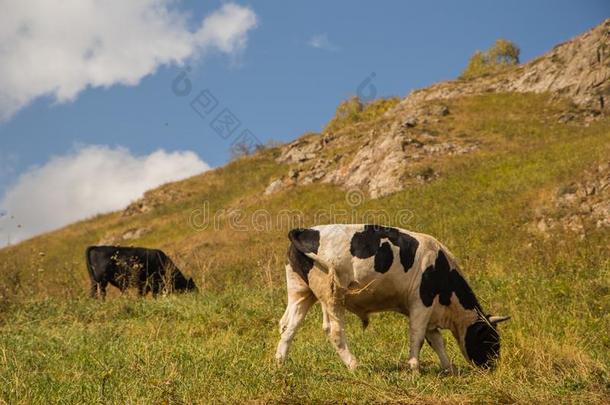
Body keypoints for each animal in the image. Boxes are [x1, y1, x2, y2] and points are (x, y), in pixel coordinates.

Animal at [276, 224, 508, 372]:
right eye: (491, 339)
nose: (493, 368)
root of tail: (303, 230)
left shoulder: (430, 311)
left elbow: (436, 340)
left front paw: (448, 368)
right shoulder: (421, 302)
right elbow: (418, 336)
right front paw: (414, 368)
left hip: (300, 292)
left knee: (289, 327)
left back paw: (279, 363)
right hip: (331, 294)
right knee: (334, 331)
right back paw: (354, 365)